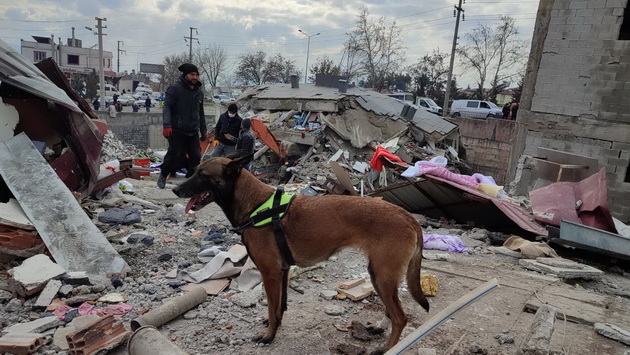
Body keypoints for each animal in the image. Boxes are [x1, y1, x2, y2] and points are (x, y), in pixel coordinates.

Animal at [173, 155, 430, 350]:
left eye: (202, 175)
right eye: (195, 171)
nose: (175, 189)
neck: (255, 205)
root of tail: (407, 216)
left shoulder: (270, 274)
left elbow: (271, 306)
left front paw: (269, 335)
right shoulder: (282, 271)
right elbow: (279, 306)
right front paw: (274, 324)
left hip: (382, 275)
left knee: (400, 317)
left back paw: (388, 348)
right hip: (379, 275)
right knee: (392, 311)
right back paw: (379, 328)